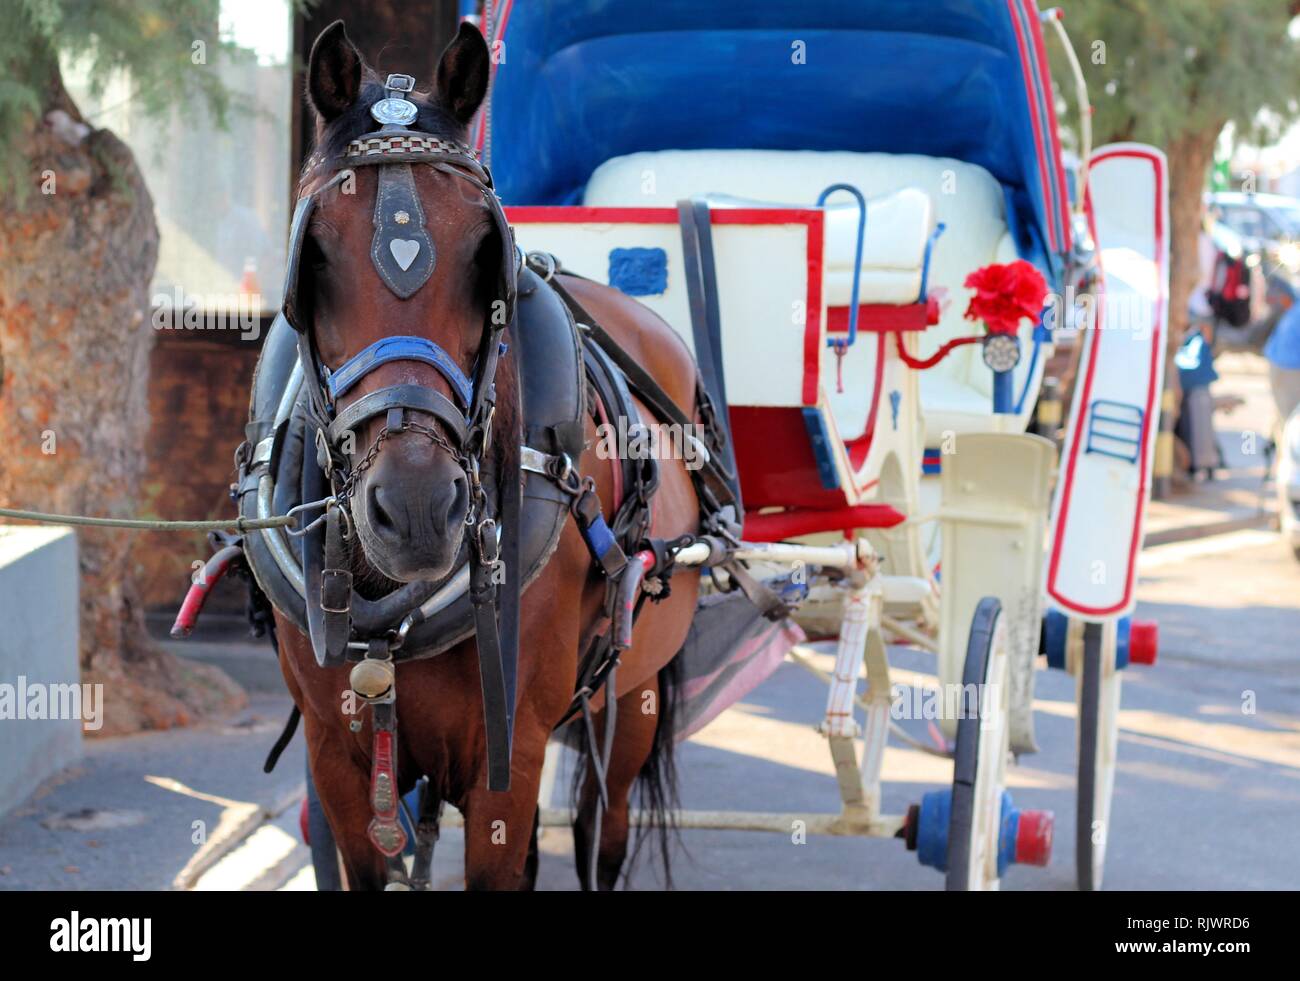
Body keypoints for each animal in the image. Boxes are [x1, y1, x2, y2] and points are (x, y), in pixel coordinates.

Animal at [271, 21, 702, 888]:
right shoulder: (336, 756)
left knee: (604, 829)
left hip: (631, 703)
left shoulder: (511, 755)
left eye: (482, 253)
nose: (416, 508)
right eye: (316, 255)